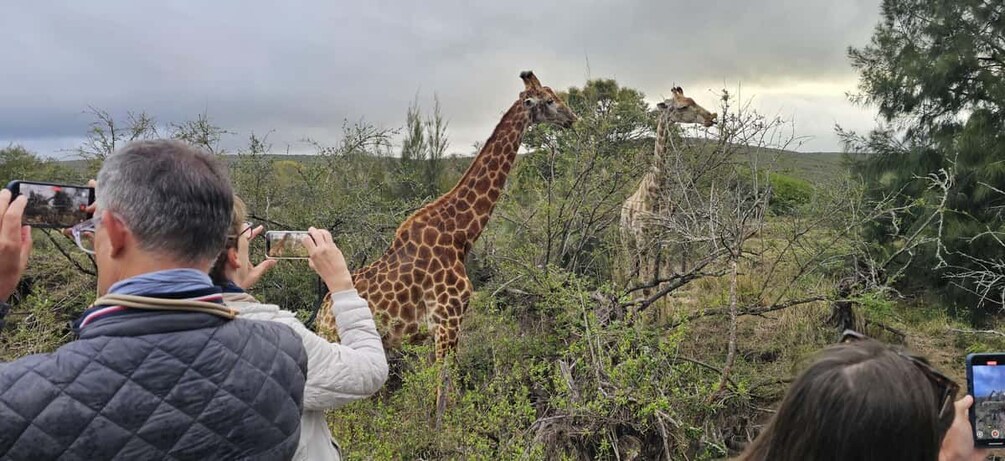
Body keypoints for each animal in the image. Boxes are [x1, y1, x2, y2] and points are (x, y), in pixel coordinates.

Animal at [620, 86, 717, 292]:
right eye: (682, 106)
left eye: (693, 100)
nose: (711, 117)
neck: (656, 189)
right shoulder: (641, 237)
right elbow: (646, 285)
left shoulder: (662, 236)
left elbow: (661, 282)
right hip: (627, 240)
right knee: (631, 277)